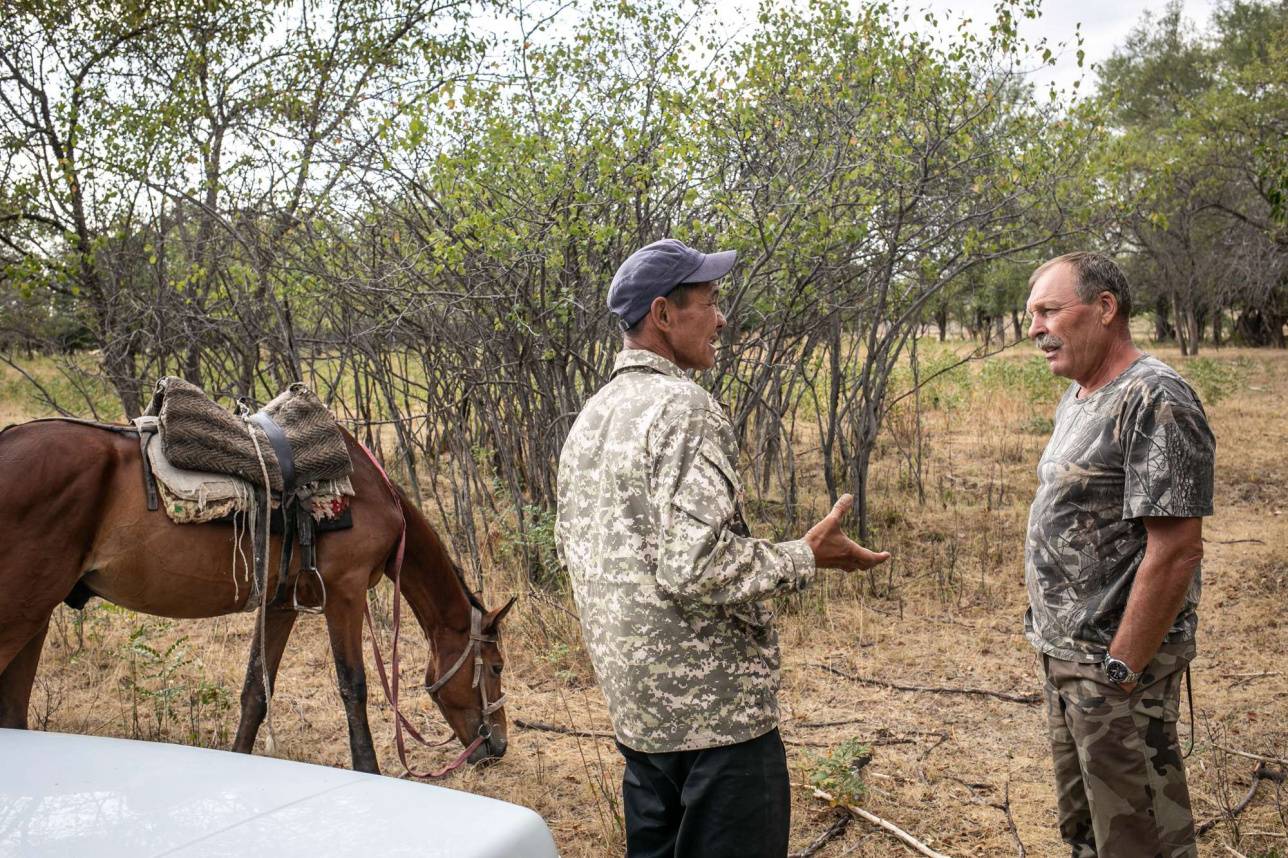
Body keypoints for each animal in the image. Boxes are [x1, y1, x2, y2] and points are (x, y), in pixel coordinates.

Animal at [0, 417, 512, 772]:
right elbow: (354, 687)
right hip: (20, 614)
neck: (370, 497)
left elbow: (254, 695)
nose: (499, 745)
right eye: (496, 667)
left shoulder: (280, 603)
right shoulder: (344, 595)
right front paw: (368, 771)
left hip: (37, 615)